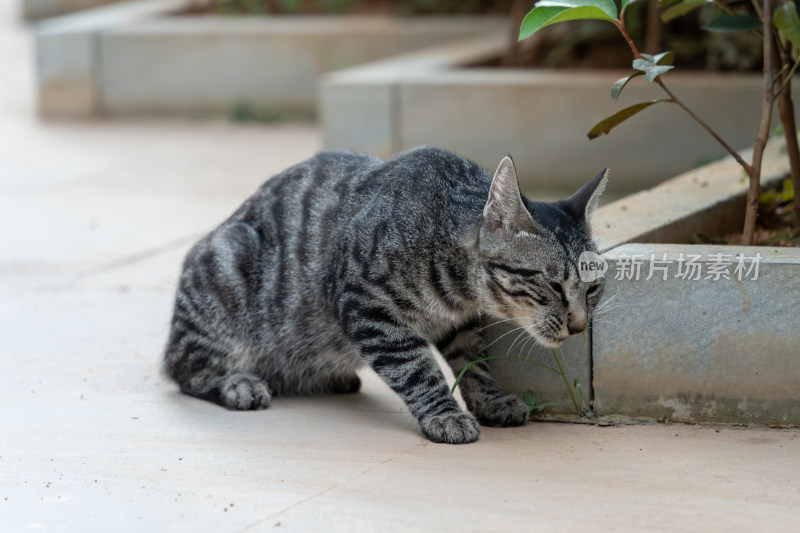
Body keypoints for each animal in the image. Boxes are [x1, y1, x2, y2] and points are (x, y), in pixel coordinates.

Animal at [161, 143, 608, 442]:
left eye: (594, 288)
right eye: (553, 284)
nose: (580, 326)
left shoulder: (459, 323)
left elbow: (474, 363)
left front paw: (490, 401)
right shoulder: (365, 305)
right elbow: (417, 368)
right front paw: (445, 415)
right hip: (228, 266)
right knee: (184, 368)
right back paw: (239, 383)